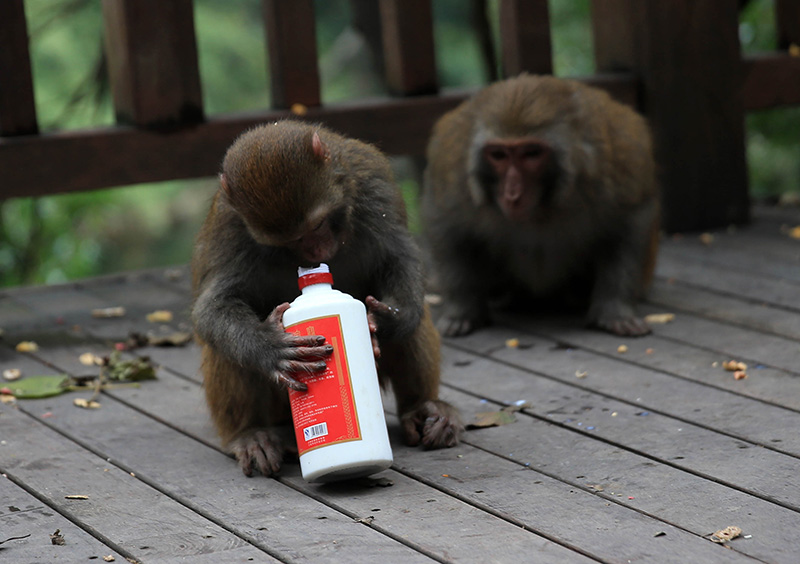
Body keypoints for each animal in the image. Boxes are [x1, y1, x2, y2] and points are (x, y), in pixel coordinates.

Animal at [191, 121, 462, 478]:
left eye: (318, 224)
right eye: (289, 242)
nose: (315, 253)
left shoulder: (372, 183)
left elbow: (398, 255)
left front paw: (389, 321)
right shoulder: (229, 225)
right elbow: (214, 306)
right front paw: (268, 346)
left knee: (416, 317)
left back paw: (421, 408)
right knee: (223, 346)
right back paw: (251, 434)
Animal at [422, 75, 660, 340]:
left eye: (531, 153)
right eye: (498, 155)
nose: (512, 194)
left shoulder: (616, 165)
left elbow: (630, 221)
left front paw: (616, 312)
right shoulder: (453, 170)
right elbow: (446, 224)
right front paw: (461, 312)